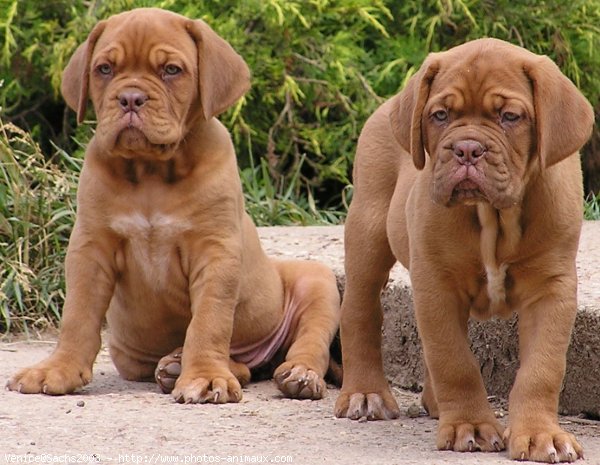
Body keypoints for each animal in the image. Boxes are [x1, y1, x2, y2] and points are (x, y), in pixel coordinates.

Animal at [7, 7, 340, 402]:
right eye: (104, 69)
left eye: (171, 70)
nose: (131, 97)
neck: (151, 170)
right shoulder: (90, 248)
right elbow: (78, 314)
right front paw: (57, 369)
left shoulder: (216, 253)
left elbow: (209, 321)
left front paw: (206, 376)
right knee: (239, 364)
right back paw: (178, 365)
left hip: (319, 283)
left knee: (309, 342)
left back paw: (298, 375)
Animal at [336, 37, 592, 460]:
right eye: (440, 115)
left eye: (510, 116)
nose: (468, 148)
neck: (493, 217)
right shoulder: (437, 284)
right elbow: (454, 359)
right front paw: (468, 425)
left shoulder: (551, 289)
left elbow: (541, 368)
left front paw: (541, 434)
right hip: (367, 234)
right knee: (360, 311)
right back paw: (366, 393)